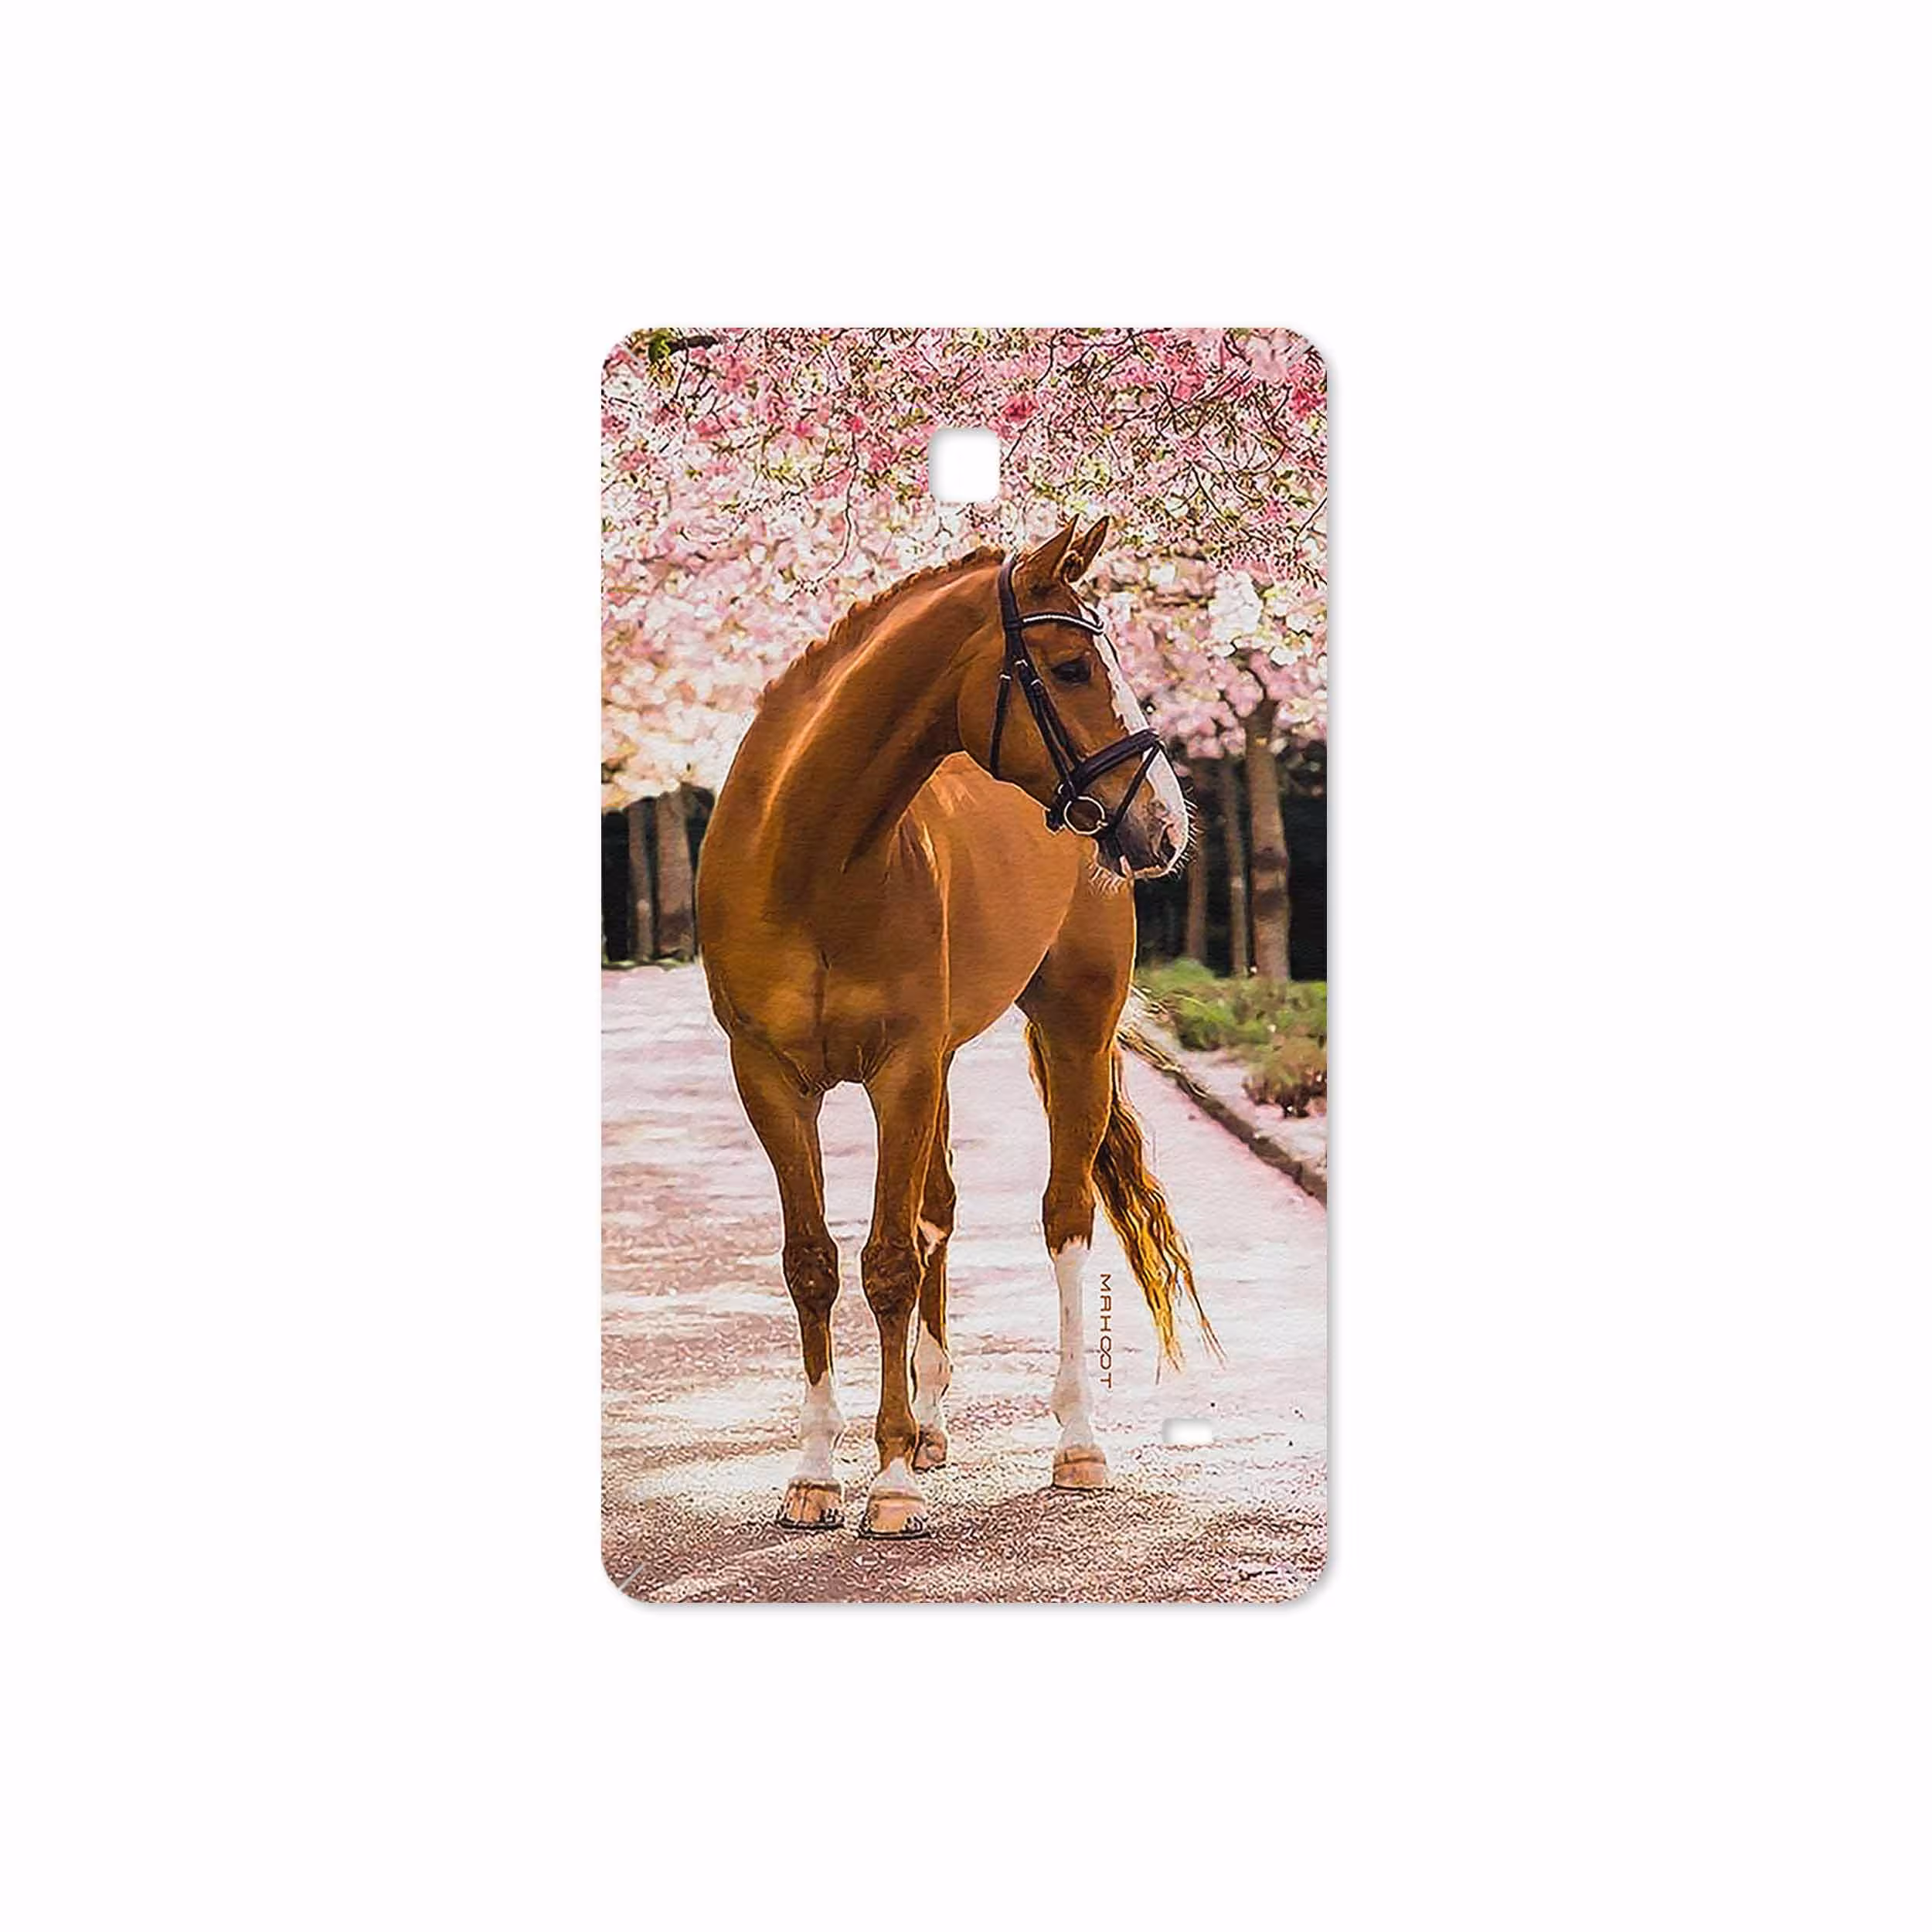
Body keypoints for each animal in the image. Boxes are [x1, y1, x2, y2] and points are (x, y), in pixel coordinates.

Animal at [696, 517, 1216, 1537]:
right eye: (1069, 667)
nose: (1165, 825)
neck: (809, 856)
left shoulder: (899, 1069)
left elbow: (889, 1261)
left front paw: (890, 1481)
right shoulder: (770, 1078)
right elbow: (813, 1262)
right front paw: (816, 1473)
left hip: (1072, 1031)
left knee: (1063, 1217)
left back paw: (1073, 1442)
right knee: (937, 1208)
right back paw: (932, 1424)